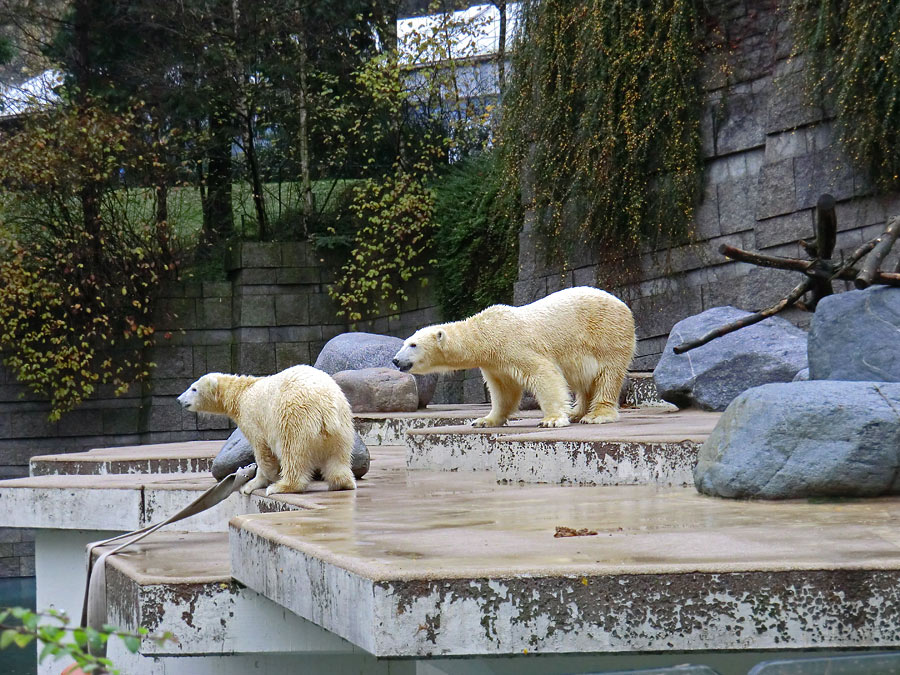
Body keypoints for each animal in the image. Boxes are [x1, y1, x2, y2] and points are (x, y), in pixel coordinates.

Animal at [178, 364, 356, 496]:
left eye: (194, 389)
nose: (179, 399)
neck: (241, 392)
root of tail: (326, 404)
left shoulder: (252, 418)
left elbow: (262, 450)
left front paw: (251, 484)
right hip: (343, 424)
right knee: (338, 455)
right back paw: (342, 483)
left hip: (294, 417)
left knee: (292, 452)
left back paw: (281, 486)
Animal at [392, 286, 632, 428]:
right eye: (404, 342)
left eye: (413, 344)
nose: (395, 360)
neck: (486, 333)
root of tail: (621, 303)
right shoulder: (494, 363)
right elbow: (503, 391)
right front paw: (484, 420)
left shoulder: (515, 346)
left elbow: (544, 375)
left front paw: (552, 420)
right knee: (584, 380)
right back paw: (577, 412)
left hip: (607, 336)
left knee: (607, 376)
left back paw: (596, 415)